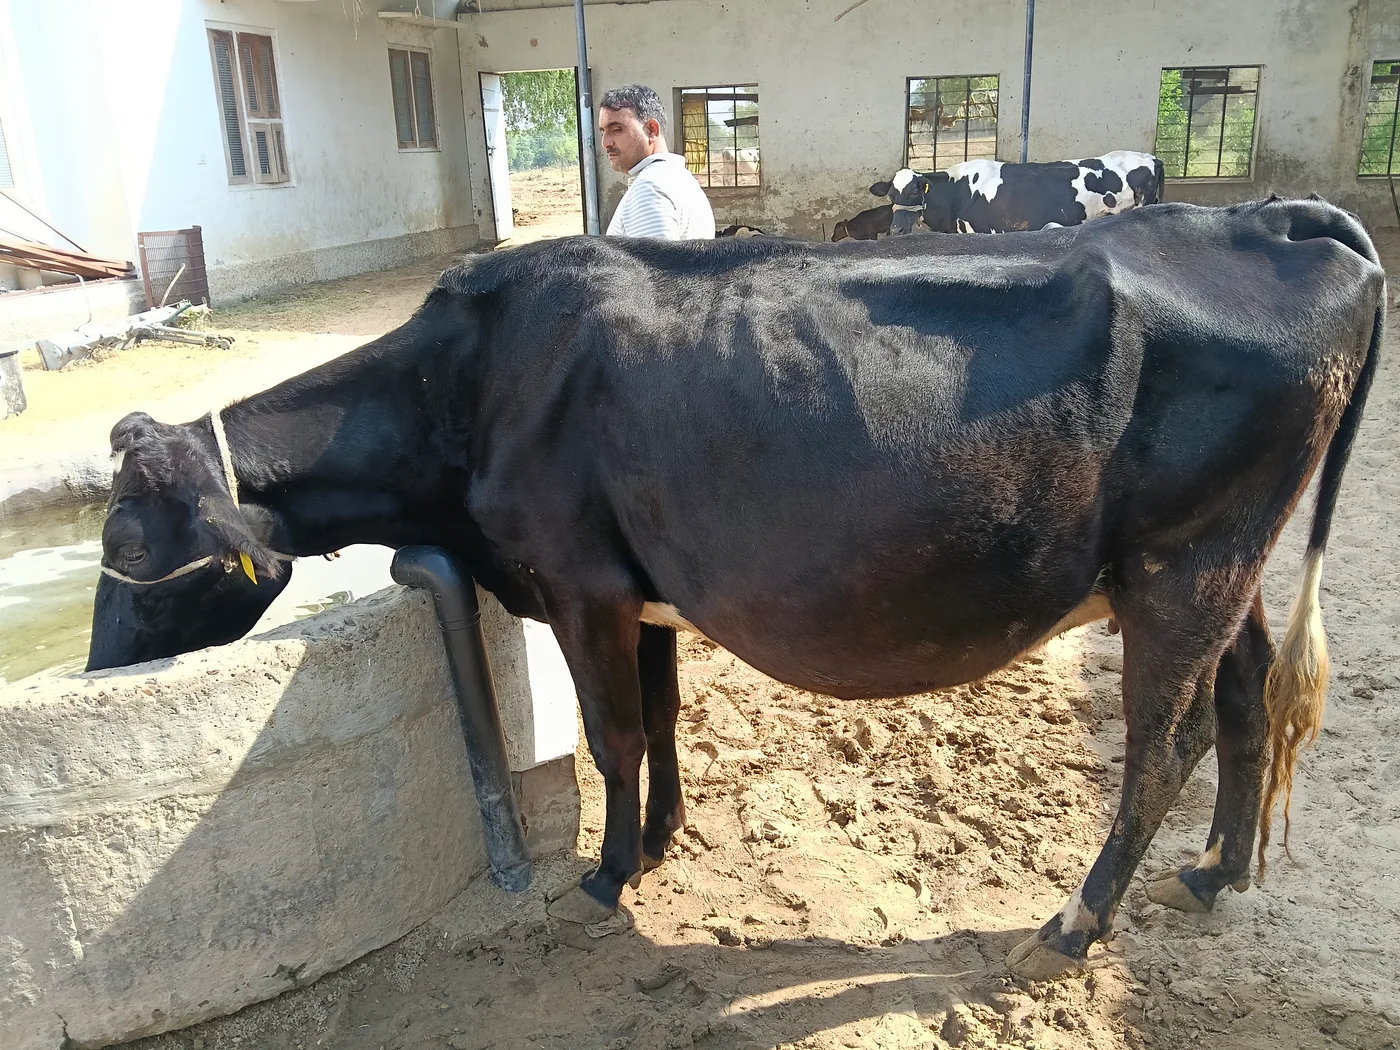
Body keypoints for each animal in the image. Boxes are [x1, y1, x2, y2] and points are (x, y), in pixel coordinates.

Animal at [86, 198, 1383, 981]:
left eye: (132, 550)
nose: (94, 671)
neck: (464, 382)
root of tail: (1260, 216)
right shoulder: (636, 585)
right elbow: (658, 717)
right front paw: (661, 838)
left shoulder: (575, 578)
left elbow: (610, 732)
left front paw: (605, 878)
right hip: (1222, 567)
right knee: (1243, 699)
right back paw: (1214, 873)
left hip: (1181, 565)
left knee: (1161, 747)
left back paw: (1071, 925)